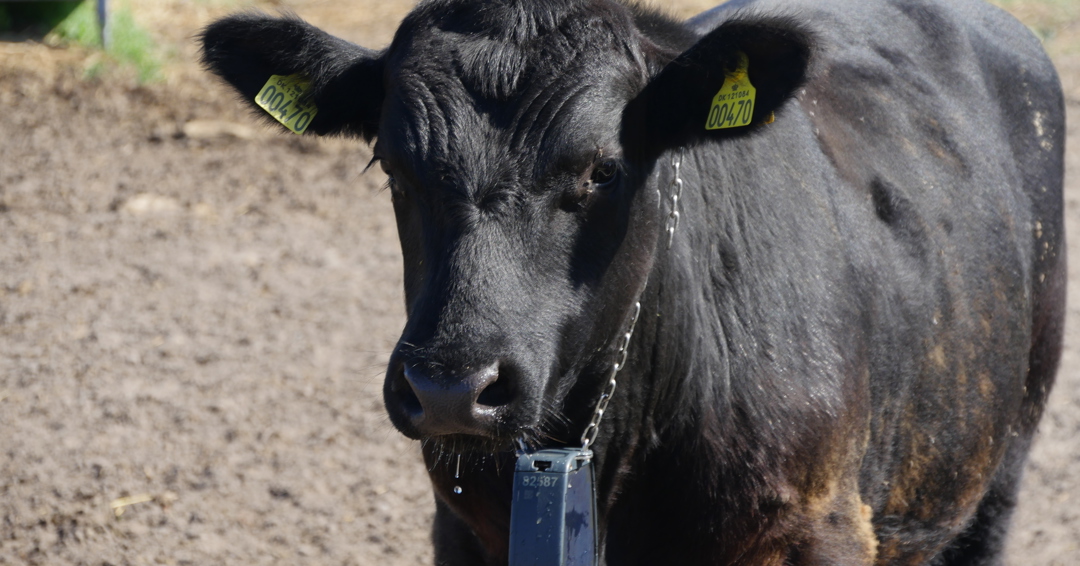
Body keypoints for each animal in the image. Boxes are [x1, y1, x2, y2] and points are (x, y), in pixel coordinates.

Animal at [200, 0, 1065, 563]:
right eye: (391, 163)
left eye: (602, 169)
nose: (449, 388)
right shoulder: (463, 531)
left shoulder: (822, 528)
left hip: (998, 467)